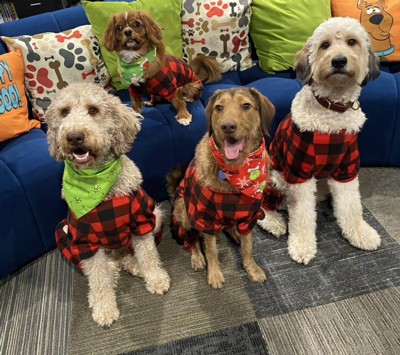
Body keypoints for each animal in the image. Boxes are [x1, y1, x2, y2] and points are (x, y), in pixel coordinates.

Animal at [45, 83, 170, 328]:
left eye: (93, 110)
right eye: (64, 112)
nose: (74, 136)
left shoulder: (141, 220)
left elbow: (148, 254)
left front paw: (156, 279)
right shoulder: (84, 239)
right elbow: (98, 278)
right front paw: (104, 308)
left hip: (156, 215)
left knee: (127, 253)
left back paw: (133, 264)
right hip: (62, 233)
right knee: (102, 267)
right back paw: (108, 275)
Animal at [166, 88, 276, 290]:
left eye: (246, 105)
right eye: (218, 108)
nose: (227, 126)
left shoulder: (249, 216)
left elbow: (248, 247)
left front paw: (252, 268)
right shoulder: (206, 218)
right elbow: (211, 250)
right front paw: (215, 274)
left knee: (228, 227)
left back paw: (235, 234)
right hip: (183, 211)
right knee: (191, 238)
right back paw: (197, 256)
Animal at [256, 18, 382, 266]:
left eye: (352, 42)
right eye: (325, 45)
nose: (339, 61)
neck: (332, 111)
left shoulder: (346, 168)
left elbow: (351, 206)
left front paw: (360, 233)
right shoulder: (299, 171)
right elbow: (302, 215)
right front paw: (302, 245)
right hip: (277, 177)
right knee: (266, 206)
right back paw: (273, 222)